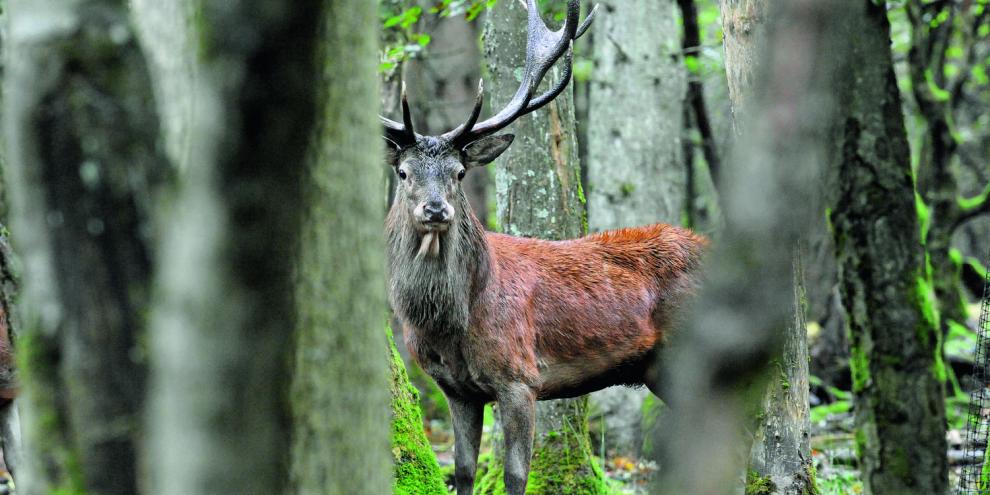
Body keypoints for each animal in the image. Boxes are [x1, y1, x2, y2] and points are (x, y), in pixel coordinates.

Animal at [382, 1, 707, 493]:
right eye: (403, 173)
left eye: (459, 172)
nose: (436, 209)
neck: (450, 323)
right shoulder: (455, 389)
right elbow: (463, 471)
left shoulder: (520, 378)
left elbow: (517, 475)